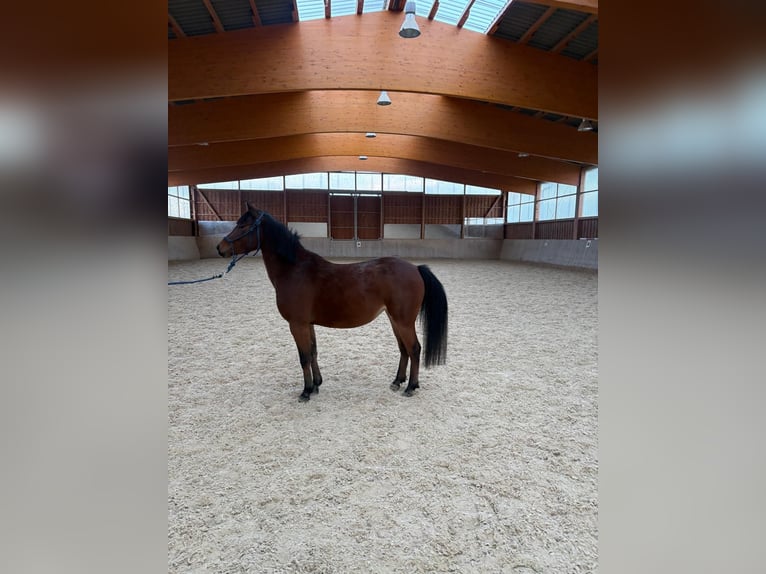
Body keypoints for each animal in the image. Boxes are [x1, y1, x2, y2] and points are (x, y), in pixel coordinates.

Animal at [216, 203, 448, 402]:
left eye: (243, 225)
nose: (220, 247)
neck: (295, 270)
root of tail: (415, 268)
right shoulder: (307, 324)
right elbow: (312, 352)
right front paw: (316, 385)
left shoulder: (297, 324)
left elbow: (304, 357)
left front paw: (306, 391)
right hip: (394, 320)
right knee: (404, 349)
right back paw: (397, 382)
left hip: (403, 322)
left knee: (414, 349)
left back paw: (410, 387)